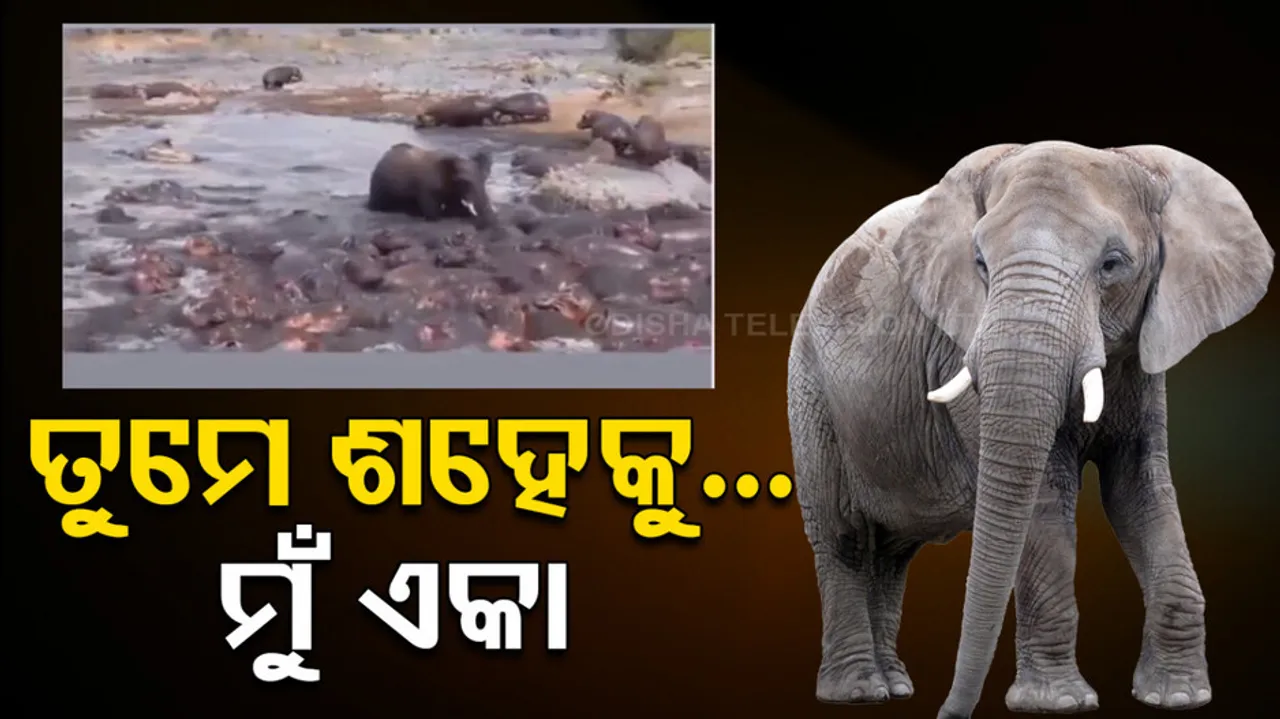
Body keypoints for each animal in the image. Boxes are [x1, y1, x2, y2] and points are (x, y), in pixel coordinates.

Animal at [366, 143, 497, 228]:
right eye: (465, 182)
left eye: (485, 178)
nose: (489, 222)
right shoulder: (426, 190)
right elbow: (433, 212)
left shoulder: (453, 192)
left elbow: (455, 206)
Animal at [786, 141, 1273, 718]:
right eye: (980, 263)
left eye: (1113, 264)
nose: (949, 713)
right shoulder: (959, 345)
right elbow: (1043, 496)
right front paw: (1057, 704)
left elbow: (1140, 491)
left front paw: (1177, 696)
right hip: (812, 390)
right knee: (843, 537)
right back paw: (860, 691)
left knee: (891, 553)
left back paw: (895, 686)